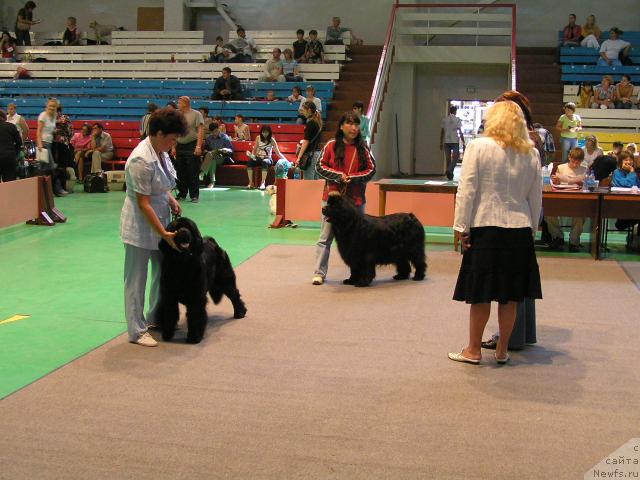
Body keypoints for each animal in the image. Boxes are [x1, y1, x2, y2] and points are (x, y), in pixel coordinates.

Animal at [158, 216, 248, 344]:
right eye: (176, 228)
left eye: (189, 227)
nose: (184, 231)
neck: (182, 265)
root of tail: (212, 241)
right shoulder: (169, 296)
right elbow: (170, 314)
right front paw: (167, 334)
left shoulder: (196, 298)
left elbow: (195, 316)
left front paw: (194, 337)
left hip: (225, 279)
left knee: (235, 295)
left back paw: (240, 312)